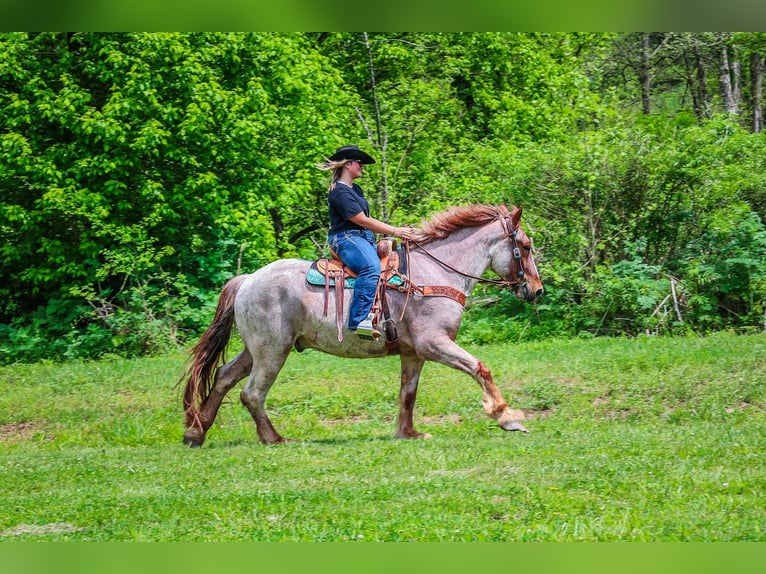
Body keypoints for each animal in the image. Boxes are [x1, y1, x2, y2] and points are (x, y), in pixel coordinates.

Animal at [180, 205, 544, 448]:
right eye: (525, 247)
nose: (537, 289)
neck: (433, 275)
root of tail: (247, 280)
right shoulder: (434, 344)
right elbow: (480, 368)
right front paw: (507, 416)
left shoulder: (413, 353)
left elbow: (408, 393)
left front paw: (408, 433)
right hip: (272, 352)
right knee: (252, 393)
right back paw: (274, 438)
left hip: (255, 350)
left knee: (224, 377)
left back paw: (196, 432)